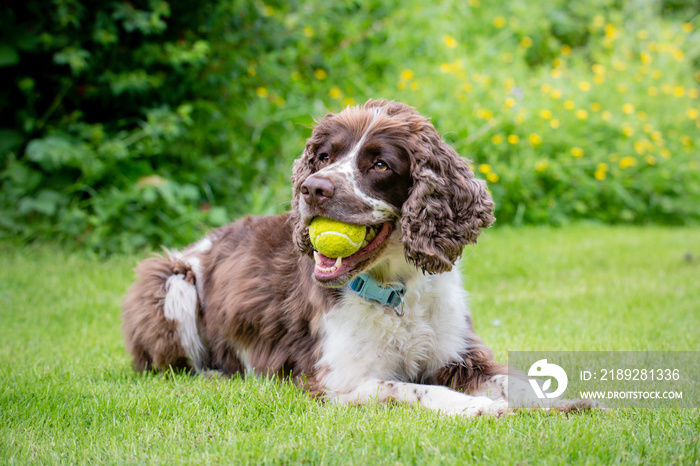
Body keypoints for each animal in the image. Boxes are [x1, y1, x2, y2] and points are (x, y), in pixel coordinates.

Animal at [121, 100, 596, 416]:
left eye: (381, 165)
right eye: (323, 157)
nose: (312, 188)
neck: (396, 289)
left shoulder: (460, 355)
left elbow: (512, 379)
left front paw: (563, 400)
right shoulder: (340, 381)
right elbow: (408, 388)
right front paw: (473, 407)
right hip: (170, 280)